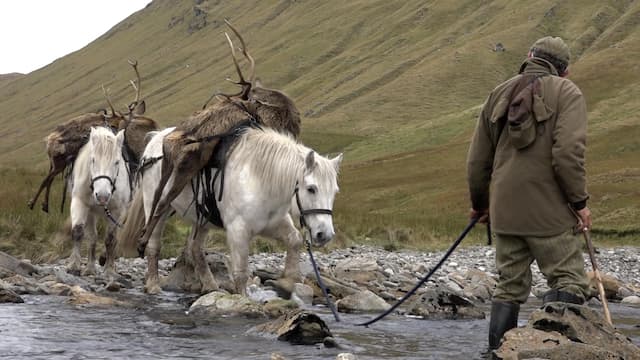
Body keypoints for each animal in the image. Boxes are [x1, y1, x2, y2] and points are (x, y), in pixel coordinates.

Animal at [68, 126, 131, 276]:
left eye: (117, 162)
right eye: (93, 160)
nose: (102, 196)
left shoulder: (117, 211)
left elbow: (110, 239)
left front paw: (109, 269)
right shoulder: (80, 202)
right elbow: (78, 232)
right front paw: (75, 266)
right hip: (91, 213)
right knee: (92, 236)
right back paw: (90, 266)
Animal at [119, 125, 340, 294]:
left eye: (335, 191)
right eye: (311, 188)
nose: (325, 234)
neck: (258, 178)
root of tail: (156, 139)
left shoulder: (274, 223)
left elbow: (294, 240)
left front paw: (289, 281)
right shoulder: (238, 231)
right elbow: (241, 273)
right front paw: (243, 301)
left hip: (202, 219)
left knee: (195, 248)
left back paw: (210, 286)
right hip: (156, 207)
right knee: (153, 245)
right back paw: (153, 285)